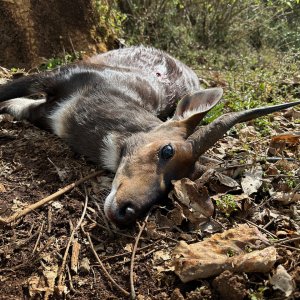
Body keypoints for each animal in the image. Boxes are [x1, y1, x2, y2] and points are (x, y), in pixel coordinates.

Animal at [0, 46, 300, 225]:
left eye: (173, 186)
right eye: (167, 150)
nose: (128, 212)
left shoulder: (42, 112)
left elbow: (14, 105)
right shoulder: (52, 77)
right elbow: (8, 89)